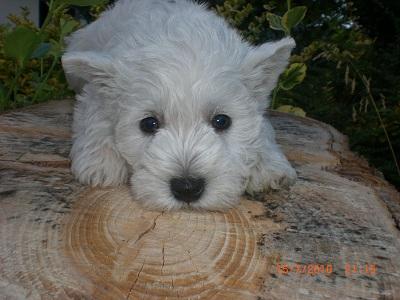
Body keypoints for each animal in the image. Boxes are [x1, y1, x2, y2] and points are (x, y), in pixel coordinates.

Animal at [61, 0, 296, 211]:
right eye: (149, 124)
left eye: (222, 121)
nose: (187, 188)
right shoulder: (91, 94)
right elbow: (95, 119)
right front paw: (101, 162)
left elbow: (263, 127)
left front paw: (267, 165)